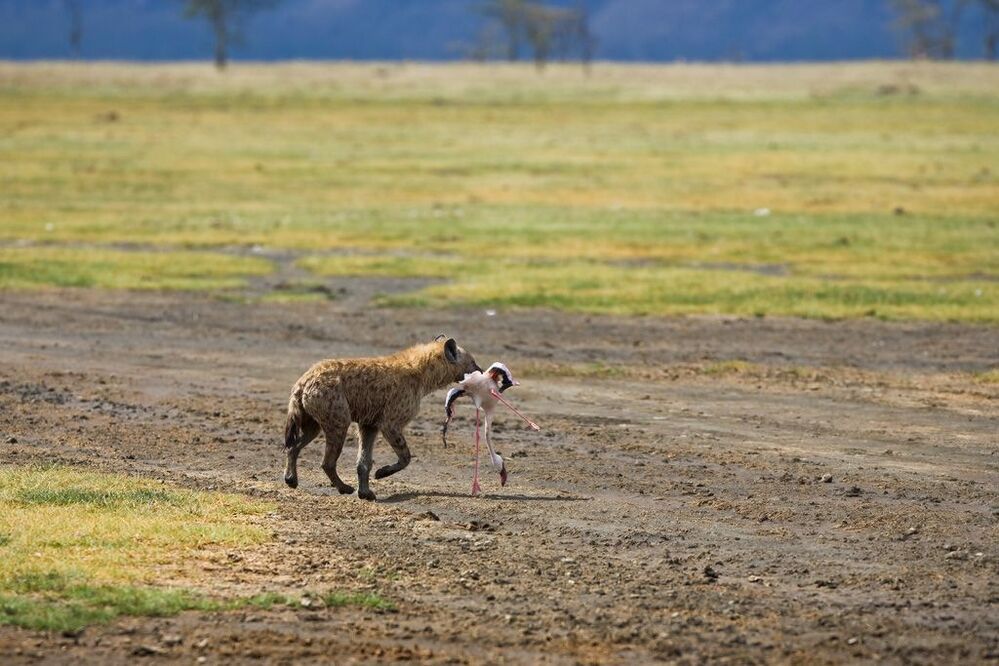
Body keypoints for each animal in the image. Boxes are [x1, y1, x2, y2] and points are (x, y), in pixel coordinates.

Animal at [283, 336, 480, 501]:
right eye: (473, 362)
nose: (481, 370)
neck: (422, 375)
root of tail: (302, 382)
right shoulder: (390, 422)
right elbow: (405, 456)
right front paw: (381, 473)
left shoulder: (369, 423)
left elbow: (364, 461)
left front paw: (366, 493)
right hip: (336, 416)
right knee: (327, 461)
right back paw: (344, 488)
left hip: (312, 421)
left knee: (293, 446)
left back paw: (291, 480)